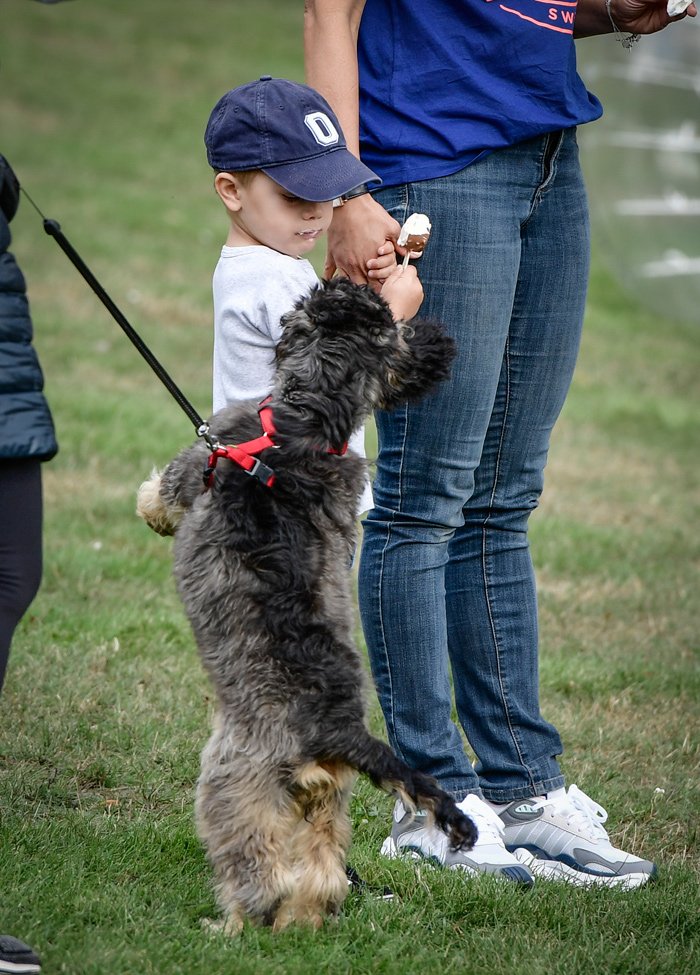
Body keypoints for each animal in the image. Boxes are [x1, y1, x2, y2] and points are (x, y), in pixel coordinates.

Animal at [137, 278, 476, 936]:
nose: (439, 333)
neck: (309, 419)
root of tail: (339, 731)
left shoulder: (202, 458)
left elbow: (163, 490)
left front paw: (149, 510)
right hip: (325, 801)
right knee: (319, 874)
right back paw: (305, 922)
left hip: (234, 782)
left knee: (258, 870)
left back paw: (231, 925)